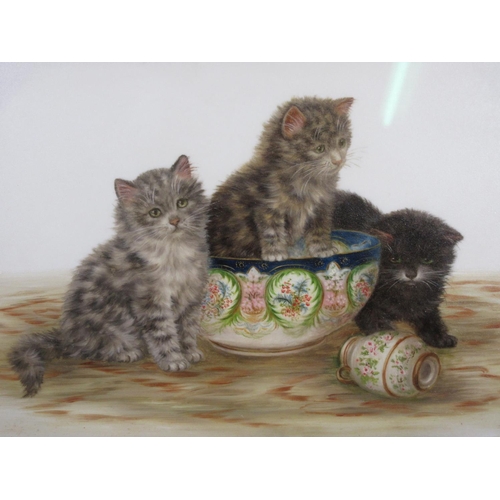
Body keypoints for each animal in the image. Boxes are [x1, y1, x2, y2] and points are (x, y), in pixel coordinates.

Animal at [9, 154, 209, 396]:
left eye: (182, 203)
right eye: (155, 212)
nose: (175, 221)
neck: (175, 254)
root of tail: (66, 336)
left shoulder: (191, 295)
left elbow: (187, 329)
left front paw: (189, 351)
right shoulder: (150, 300)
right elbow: (163, 333)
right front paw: (173, 360)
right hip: (103, 330)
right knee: (89, 350)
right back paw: (126, 352)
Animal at [207, 97, 356, 262]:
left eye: (342, 142)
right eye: (319, 149)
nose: (338, 161)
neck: (307, 181)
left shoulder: (322, 206)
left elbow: (320, 228)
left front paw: (323, 249)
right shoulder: (267, 206)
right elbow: (272, 231)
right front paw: (275, 253)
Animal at [334, 191, 462, 348]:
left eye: (426, 259)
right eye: (395, 259)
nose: (411, 274)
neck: (405, 293)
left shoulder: (428, 304)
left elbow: (431, 319)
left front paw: (440, 337)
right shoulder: (366, 305)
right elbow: (378, 325)